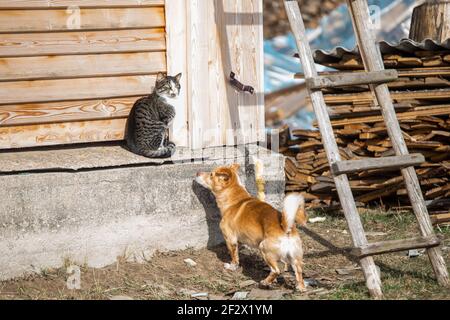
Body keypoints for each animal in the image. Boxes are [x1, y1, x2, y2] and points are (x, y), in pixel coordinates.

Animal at [195, 164, 308, 292]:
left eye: (211, 175)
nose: (197, 173)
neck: (234, 200)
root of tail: (286, 227)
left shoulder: (230, 239)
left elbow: (234, 257)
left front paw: (231, 267)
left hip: (264, 248)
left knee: (276, 270)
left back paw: (265, 282)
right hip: (294, 258)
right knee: (298, 271)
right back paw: (300, 287)